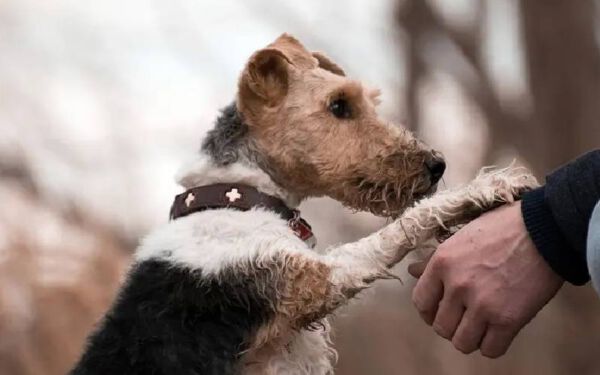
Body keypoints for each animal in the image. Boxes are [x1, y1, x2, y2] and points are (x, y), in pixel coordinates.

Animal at [70, 33, 540, 374]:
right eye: (338, 106)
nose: (437, 165)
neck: (237, 197)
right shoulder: (314, 279)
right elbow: (398, 229)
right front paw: (491, 186)